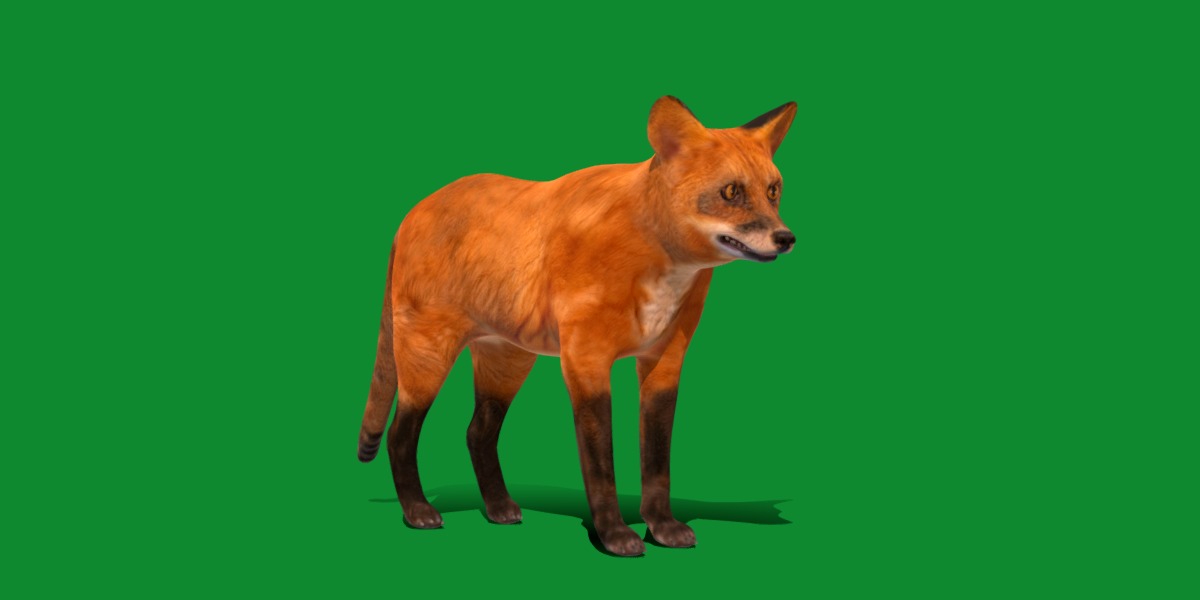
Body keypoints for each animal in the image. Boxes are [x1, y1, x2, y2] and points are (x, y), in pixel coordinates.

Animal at [357, 96, 797, 556]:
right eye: (731, 192)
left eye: (773, 191)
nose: (786, 238)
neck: (660, 264)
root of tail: (414, 209)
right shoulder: (586, 360)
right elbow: (600, 466)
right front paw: (615, 535)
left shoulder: (664, 361)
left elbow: (657, 464)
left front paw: (661, 526)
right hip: (428, 358)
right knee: (399, 434)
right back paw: (417, 511)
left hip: (507, 364)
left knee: (477, 433)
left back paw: (498, 507)